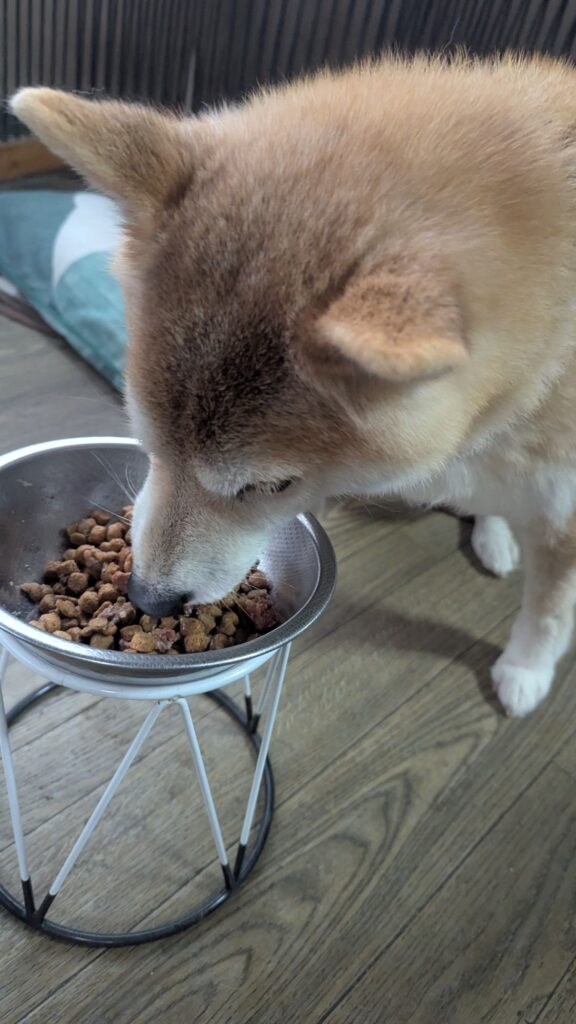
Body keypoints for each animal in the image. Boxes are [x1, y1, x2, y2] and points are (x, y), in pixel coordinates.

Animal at [11, 54, 576, 717]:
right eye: (148, 446)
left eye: (273, 486)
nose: (148, 600)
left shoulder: (564, 511)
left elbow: (549, 610)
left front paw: (526, 670)